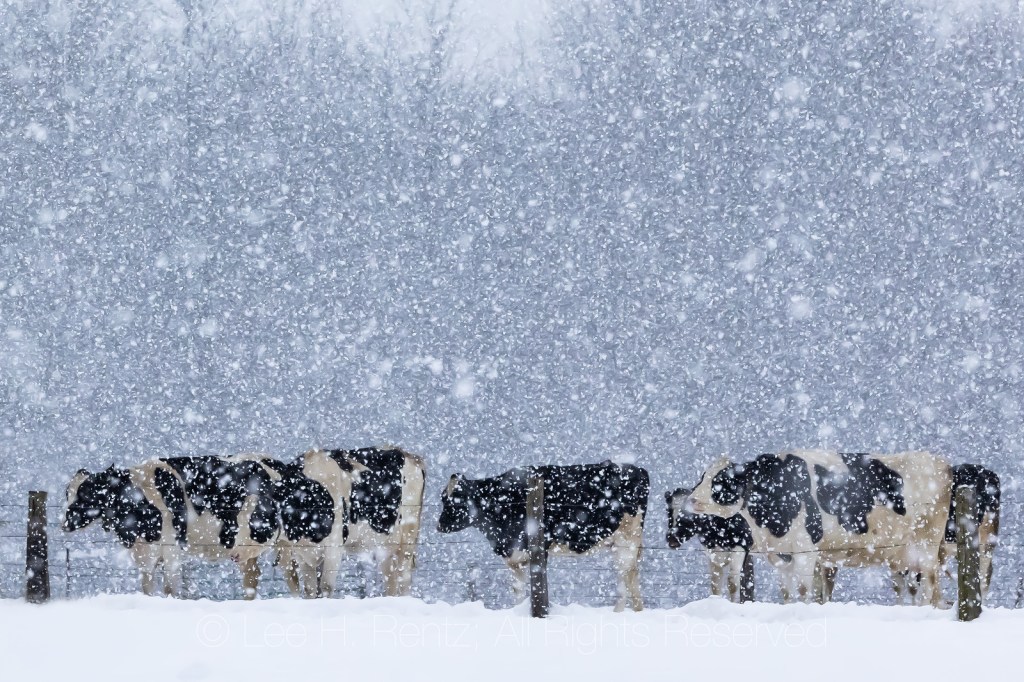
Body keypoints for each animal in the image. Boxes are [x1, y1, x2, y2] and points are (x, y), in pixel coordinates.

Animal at [271, 446, 425, 598]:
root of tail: (410, 456)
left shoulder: (334, 546)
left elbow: (326, 586)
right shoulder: (302, 554)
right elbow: (310, 590)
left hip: (408, 536)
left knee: (403, 576)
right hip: (385, 545)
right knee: (391, 579)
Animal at [438, 461, 649, 612]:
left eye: (458, 498)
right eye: (443, 497)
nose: (440, 525)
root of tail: (638, 469)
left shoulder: (538, 547)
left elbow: (536, 584)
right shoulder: (515, 554)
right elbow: (518, 588)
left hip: (628, 538)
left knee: (626, 575)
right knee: (627, 576)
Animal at [685, 450, 951, 606]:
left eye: (723, 479)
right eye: (702, 476)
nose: (692, 499)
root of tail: (940, 463)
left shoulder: (806, 550)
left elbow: (804, 590)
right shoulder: (782, 555)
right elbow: (787, 593)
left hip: (927, 545)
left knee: (929, 585)